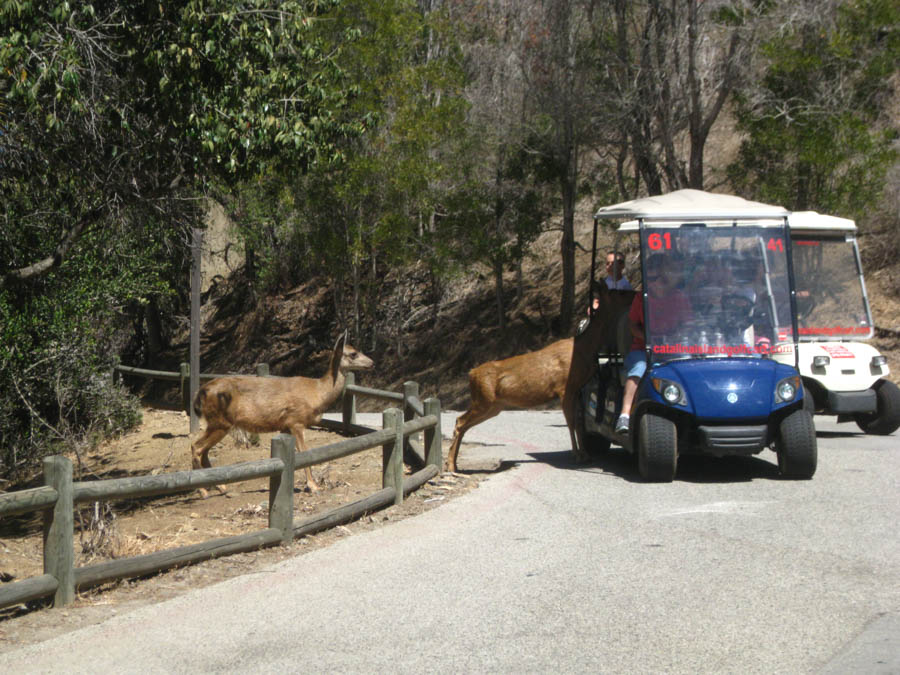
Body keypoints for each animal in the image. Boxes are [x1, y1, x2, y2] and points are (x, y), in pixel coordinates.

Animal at [190, 332, 372, 494]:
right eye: (353, 353)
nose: (372, 362)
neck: (318, 393)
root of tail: (202, 391)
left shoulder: (285, 425)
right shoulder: (296, 421)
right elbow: (305, 453)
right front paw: (313, 486)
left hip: (218, 423)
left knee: (204, 450)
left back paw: (220, 487)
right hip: (219, 422)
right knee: (196, 447)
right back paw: (203, 491)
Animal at [444, 288, 632, 472]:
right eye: (622, 292)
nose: (635, 296)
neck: (584, 349)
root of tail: (471, 373)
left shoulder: (577, 389)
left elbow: (579, 423)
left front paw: (585, 455)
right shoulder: (564, 388)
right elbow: (571, 422)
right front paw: (577, 455)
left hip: (494, 406)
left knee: (463, 423)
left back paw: (454, 465)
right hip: (484, 399)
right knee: (460, 421)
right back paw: (451, 466)